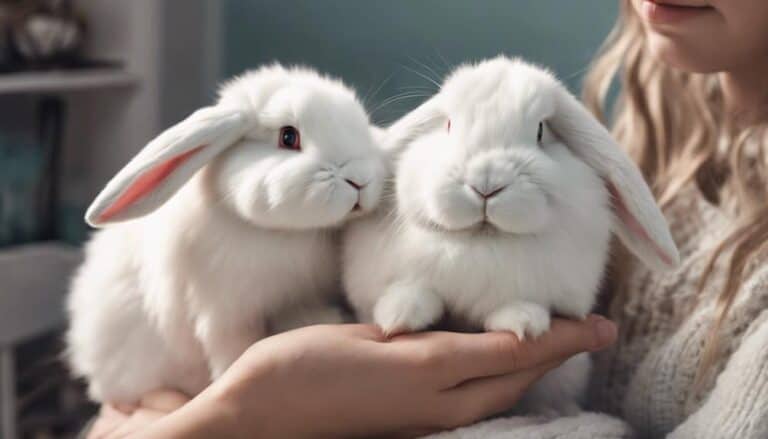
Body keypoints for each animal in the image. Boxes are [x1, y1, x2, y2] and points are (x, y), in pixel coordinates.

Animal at [66, 64, 386, 403]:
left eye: (362, 124)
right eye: (288, 136)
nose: (359, 180)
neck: (285, 233)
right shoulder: (223, 314)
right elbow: (233, 352)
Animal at [343, 56, 679, 414]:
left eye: (541, 130)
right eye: (448, 125)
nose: (486, 184)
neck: (483, 242)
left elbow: (523, 304)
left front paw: (523, 322)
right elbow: (408, 290)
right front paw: (400, 314)